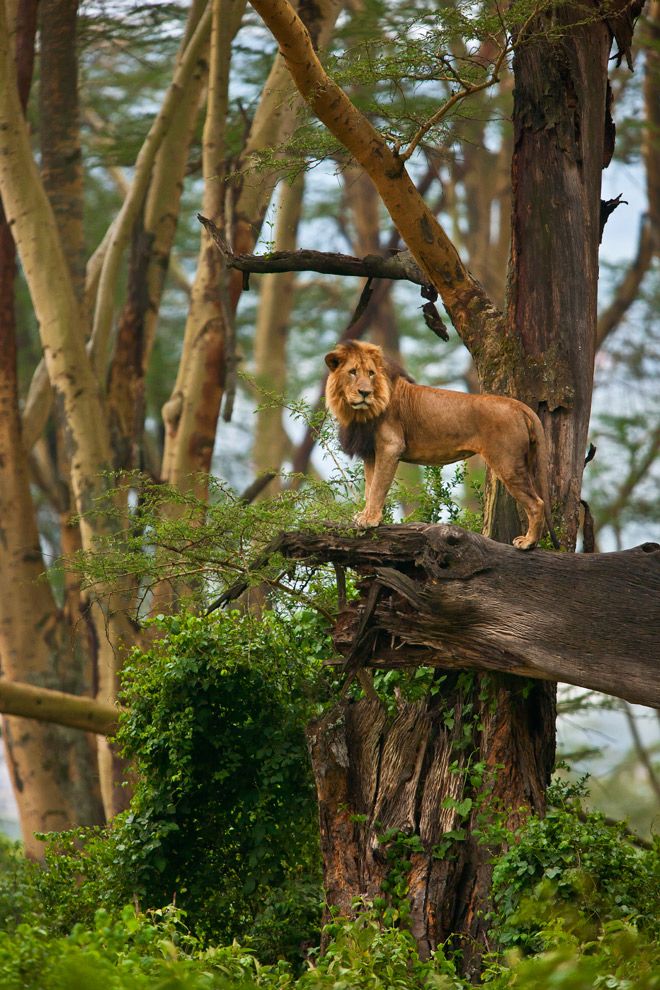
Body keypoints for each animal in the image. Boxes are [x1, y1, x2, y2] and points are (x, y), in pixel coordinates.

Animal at [324, 342, 556, 556]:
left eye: (371, 374)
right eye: (352, 372)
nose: (365, 392)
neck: (358, 412)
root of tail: (518, 405)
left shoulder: (391, 446)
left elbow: (378, 487)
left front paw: (369, 520)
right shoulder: (371, 452)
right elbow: (370, 486)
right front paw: (367, 516)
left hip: (507, 463)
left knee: (537, 503)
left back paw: (528, 543)